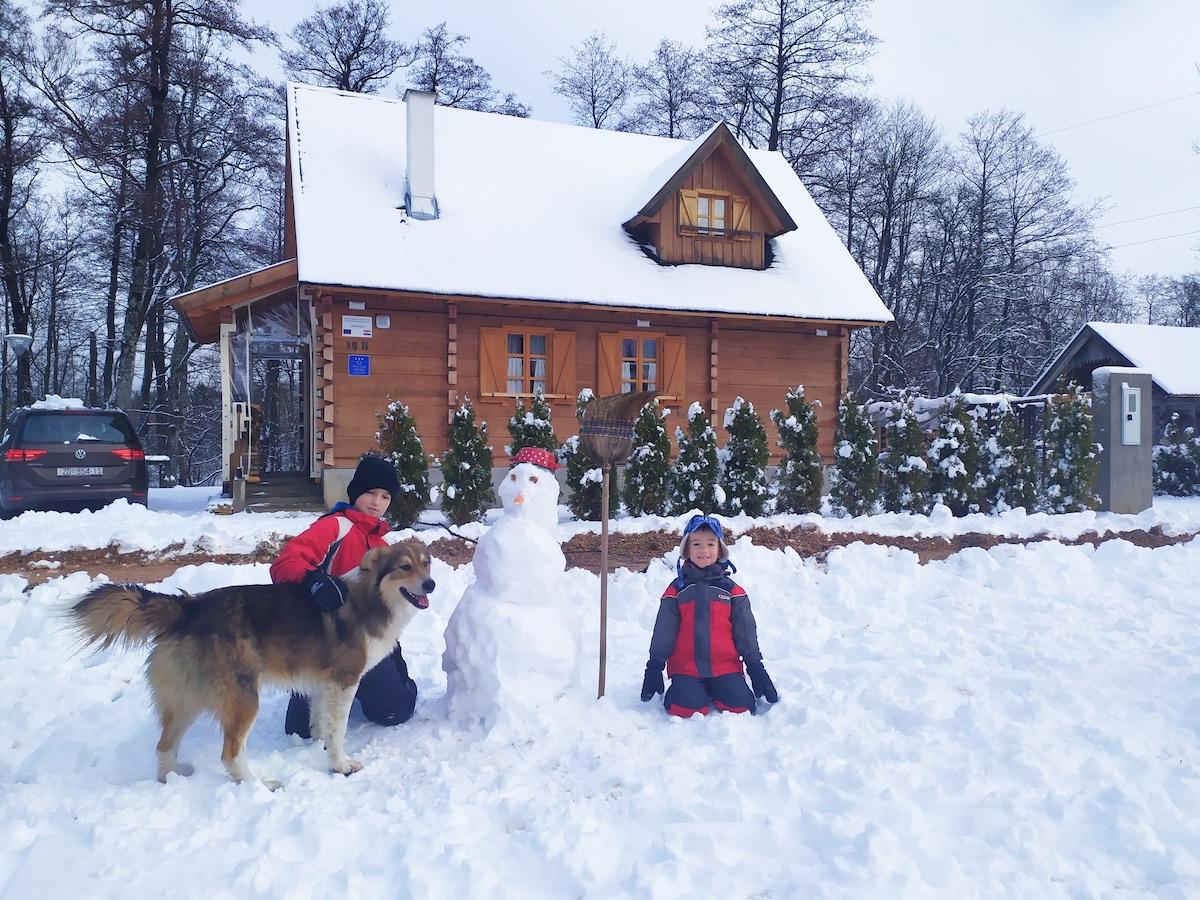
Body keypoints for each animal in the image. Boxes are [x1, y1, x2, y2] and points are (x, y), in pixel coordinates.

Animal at [68, 542, 434, 787]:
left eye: (426, 564)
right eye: (404, 567)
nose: (430, 584)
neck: (372, 599)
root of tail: (190, 606)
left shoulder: (324, 683)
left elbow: (320, 723)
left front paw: (315, 746)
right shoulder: (345, 680)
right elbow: (338, 730)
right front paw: (340, 765)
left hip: (187, 700)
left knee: (164, 747)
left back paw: (171, 783)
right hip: (243, 699)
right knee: (229, 753)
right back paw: (258, 785)